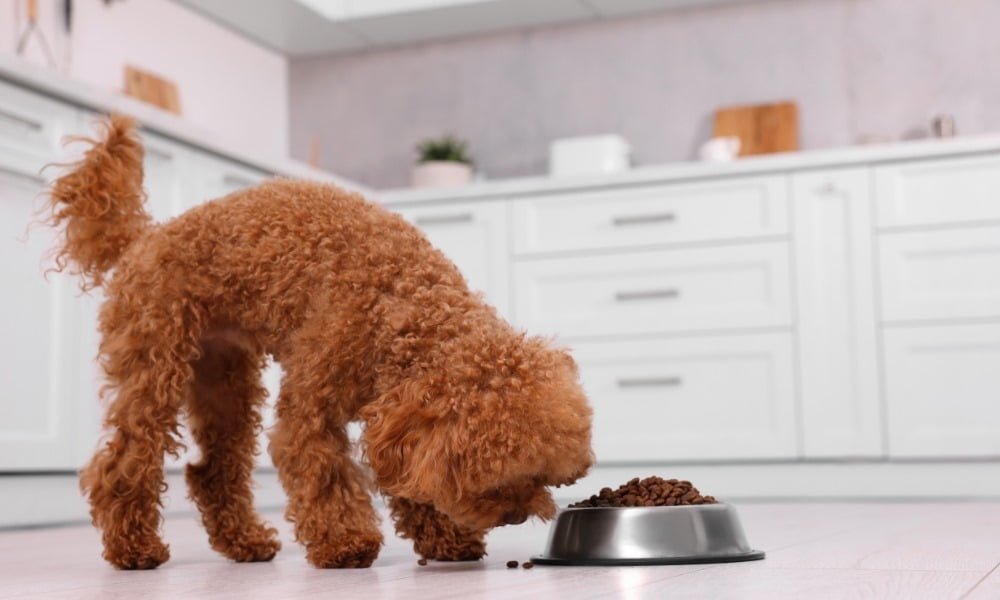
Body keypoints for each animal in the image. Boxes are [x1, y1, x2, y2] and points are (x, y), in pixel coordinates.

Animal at [45, 115, 592, 568]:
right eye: (495, 476)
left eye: (541, 476)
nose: (517, 514)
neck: (404, 306)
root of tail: (143, 239)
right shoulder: (313, 405)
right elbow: (321, 469)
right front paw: (346, 543)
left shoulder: (393, 420)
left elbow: (408, 480)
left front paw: (444, 539)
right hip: (155, 363)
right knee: (125, 459)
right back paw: (133, 548)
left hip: (225, 379)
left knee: (214, 469)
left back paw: (245, 543)